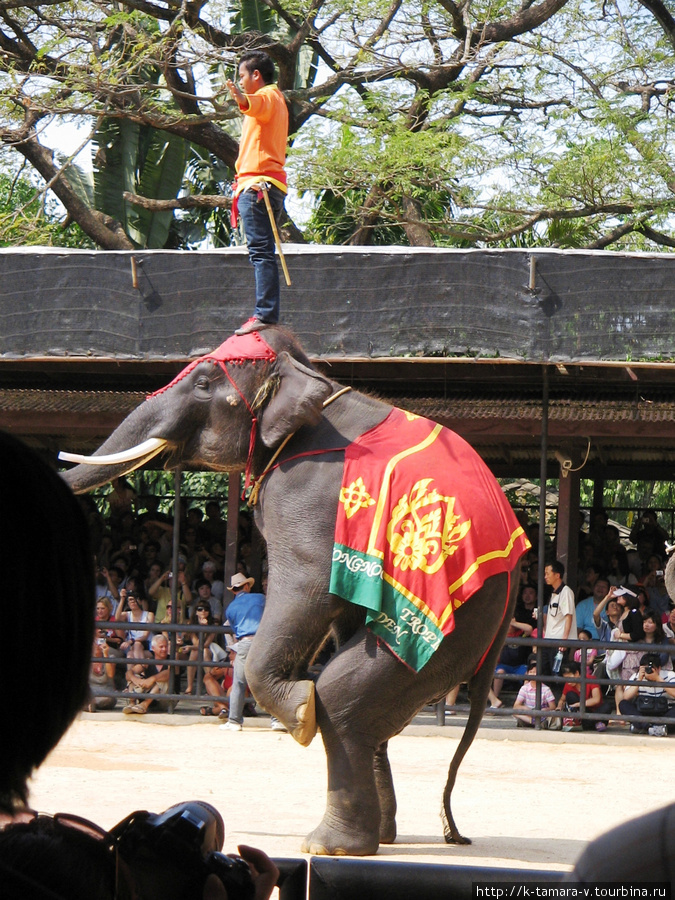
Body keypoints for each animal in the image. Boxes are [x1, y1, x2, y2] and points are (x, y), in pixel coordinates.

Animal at [60, 326, 528, 856]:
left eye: (203, 384)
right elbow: (341, 614)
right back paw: (379, 839)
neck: (309, 378)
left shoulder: (306, 499)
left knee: (342, 700)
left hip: (450, 628)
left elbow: (307, 587)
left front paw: (299, 712)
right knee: (372, 717)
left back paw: (328, 843)